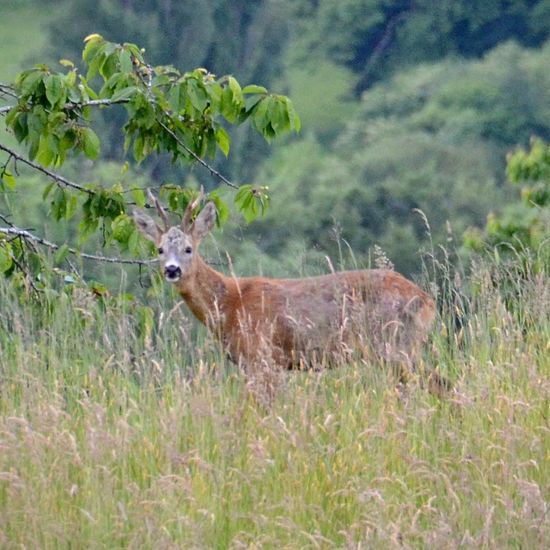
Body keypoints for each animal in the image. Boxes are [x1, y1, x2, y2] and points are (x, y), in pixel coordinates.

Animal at [134, 194, 448, 396]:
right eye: (160, 249)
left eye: (189, 248)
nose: (172, 269)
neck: (229, 303)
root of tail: (428, 301)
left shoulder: (262, 356)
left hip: (394, 346)